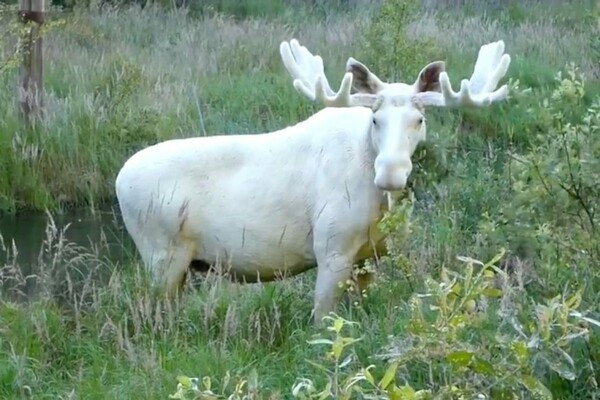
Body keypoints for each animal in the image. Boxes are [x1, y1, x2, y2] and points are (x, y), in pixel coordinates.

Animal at [116, 37, 510, 324]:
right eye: (375, 119)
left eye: (420, 120)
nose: (390, 173)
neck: (379, 204)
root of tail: (119, 181)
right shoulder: (331, 247)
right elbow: (322, 320)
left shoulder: (371, 255)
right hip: (160, 254)